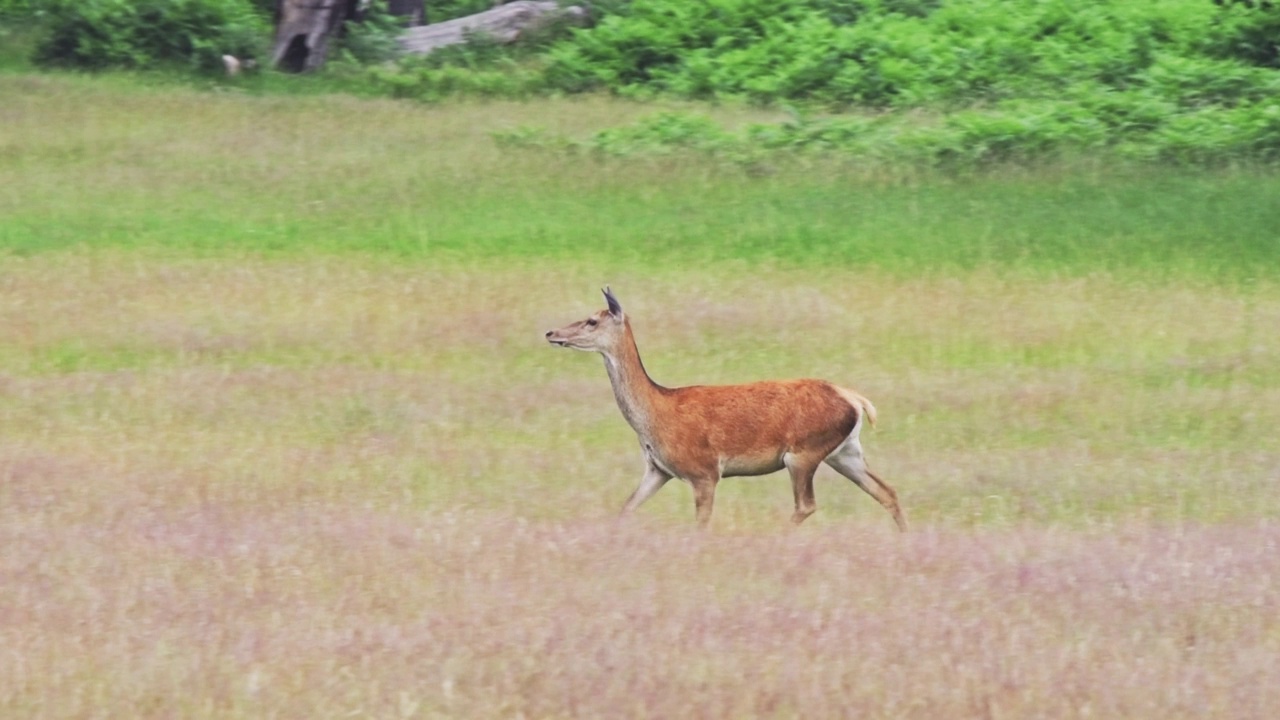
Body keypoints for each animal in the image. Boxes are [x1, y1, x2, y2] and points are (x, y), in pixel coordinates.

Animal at [545, 288, 906, 530]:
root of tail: (854, 399)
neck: (656, 414)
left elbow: (701, 524)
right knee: (887, 491)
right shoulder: (657, 469)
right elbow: (625, 508)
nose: (551, 332)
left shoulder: (704, 470)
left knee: (807, 505)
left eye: (592, 321)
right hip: (844, 451)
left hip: (803, 452)